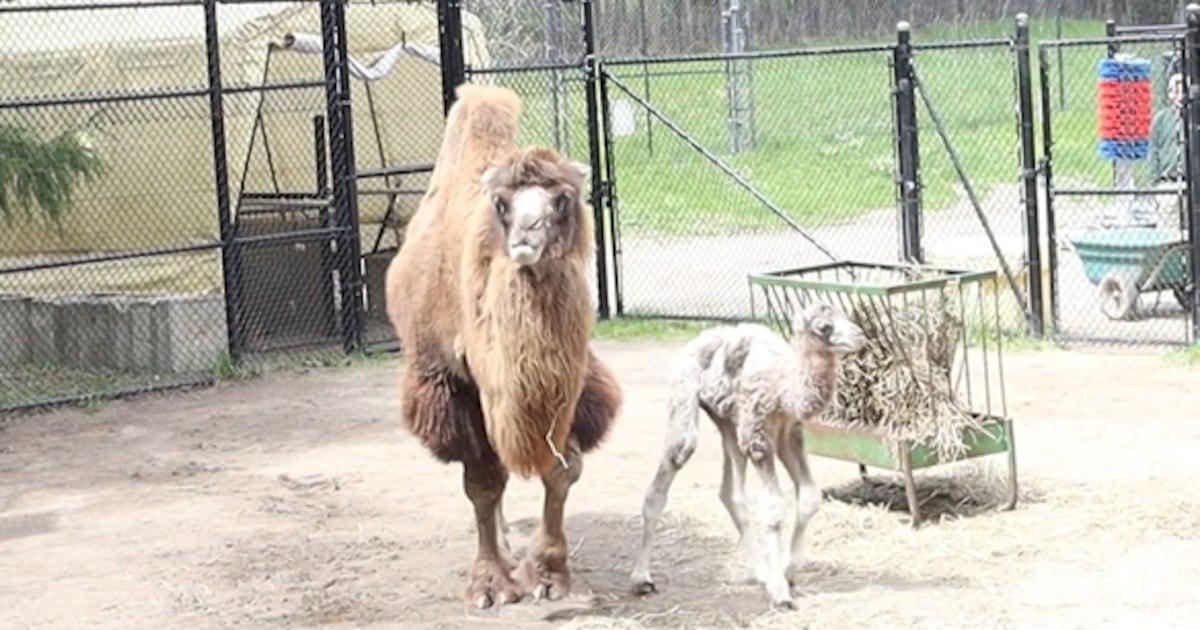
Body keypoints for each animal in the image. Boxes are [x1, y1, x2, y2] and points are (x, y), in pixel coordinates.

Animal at [384, 83, 623, 609]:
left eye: (562, 200)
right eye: (501, 203)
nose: (525, 238)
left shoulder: (572, 381)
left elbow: (562, 469)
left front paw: (550, 574)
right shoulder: (454, 384)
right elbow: (483, 483)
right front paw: (490, 584)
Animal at [629, 302, 866, 609]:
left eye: (845, 315)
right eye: (824, 327)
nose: (860, 336)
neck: (783, 388)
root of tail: (700, 338)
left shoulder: (789, 433)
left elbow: (810, 496)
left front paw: (787, 572)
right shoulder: (758, 437)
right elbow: (774, 509)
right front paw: (781, 594)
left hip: (727, 421)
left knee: (730, 493)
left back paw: (761, 572)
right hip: (689, 399)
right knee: (675, 460)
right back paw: (641, 579)